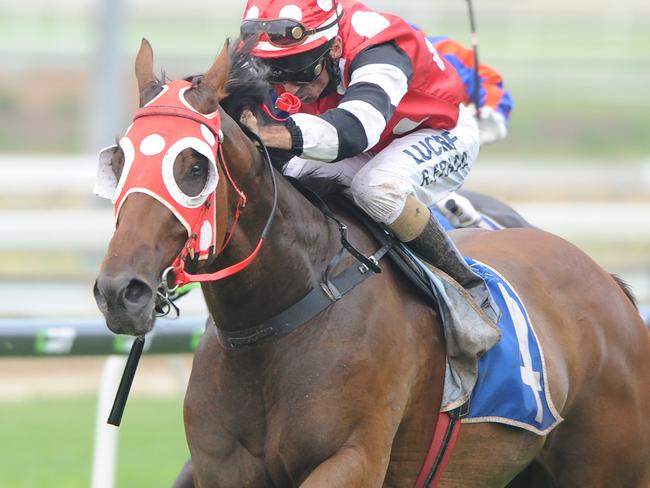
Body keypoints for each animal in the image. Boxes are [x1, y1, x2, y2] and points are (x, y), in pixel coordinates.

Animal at [92, 40, 648, 486]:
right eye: (117, 160)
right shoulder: (223, 468)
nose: (121, 292)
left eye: (194, 166)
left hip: (610, 466)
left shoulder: (352, 458)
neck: (279, 318)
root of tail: (609, 282)